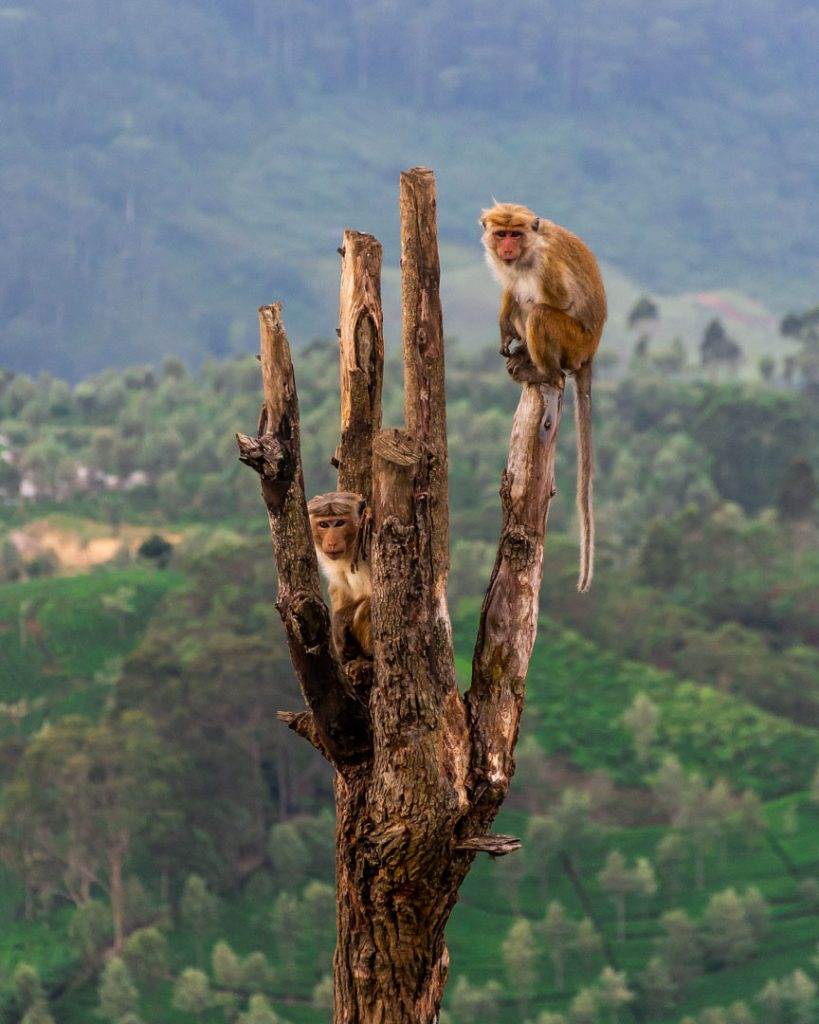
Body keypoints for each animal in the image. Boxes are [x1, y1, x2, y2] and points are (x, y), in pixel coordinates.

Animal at [480, 202, 607, 592]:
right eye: (501, 234)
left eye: (515, 234)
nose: (506, 248)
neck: (525, 255)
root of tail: (590, 353)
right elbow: (510, 291)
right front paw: (505, 328)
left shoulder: (546, 265)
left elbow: (558, 301)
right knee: (522, 302)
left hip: (573, 343)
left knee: (537, 311)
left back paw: (544, 372)